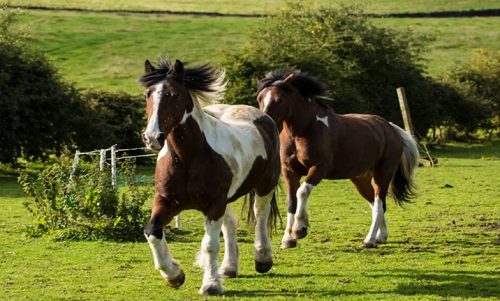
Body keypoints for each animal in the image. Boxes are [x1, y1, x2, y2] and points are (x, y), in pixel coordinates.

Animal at [140, 59, 282, 296]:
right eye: (147, 94)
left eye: (175, 95)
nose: (153, 137)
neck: (188, 157)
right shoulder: (166, 200)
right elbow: (152, 232)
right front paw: (174, 275)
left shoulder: (214, 204)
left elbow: (210, 245)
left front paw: (211, 284)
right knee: (231, 223)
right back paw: (229, 268)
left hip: (264, 185)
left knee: (260, 215)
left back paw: (262, 259)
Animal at [256, 69, 420, 248]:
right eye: (259, 98)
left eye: (280, 99)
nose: (265, 121)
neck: (303, 131)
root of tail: (391, 128)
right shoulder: (289, 171)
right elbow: (291, 202)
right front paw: (288, 239)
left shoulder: (319, 168)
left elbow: (302, 191)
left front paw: (299, 229)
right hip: (361, 180)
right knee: (378, 204)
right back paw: (381, 236)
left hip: (383, 175)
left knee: (378, 205)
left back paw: (369, 240)